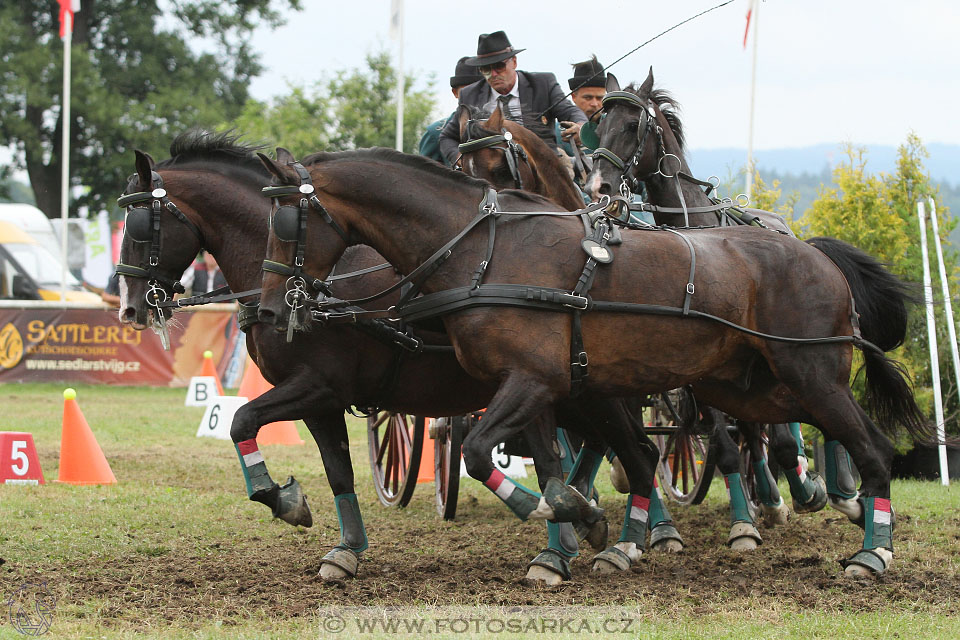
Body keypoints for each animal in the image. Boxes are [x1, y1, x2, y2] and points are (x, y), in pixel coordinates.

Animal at [114, 129, 660, 584]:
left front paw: (284, 500)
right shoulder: (321, 402)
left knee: (637, 453)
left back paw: (623, 539)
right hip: (558, 397)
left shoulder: (316, 385)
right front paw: (345, 548)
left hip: (585, 391)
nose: (129, 307)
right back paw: (579, 532)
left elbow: (241, 420)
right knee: (583, 455)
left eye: (138, 223)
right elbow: (337, 471)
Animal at [255, 148, 928, 576]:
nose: (268, 308)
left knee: (862, 444)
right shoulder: (539, 389)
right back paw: (848, 508)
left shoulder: (532, 381)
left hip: (806, 373)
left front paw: (563, 516)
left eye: (287, 222)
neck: (482, 249)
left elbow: (480, 454)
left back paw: (871, 550)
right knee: (819, 437)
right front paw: (577, 524)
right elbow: (558, 465)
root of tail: (816, 254)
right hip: (753, 385)